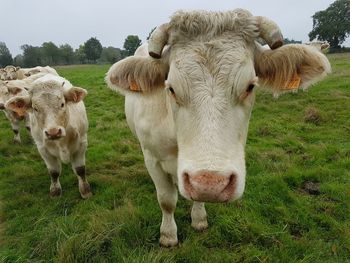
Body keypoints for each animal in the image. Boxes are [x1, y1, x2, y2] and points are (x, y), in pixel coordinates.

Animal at [106, 8, 330, 248]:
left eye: (250, 86)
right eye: (171, 88)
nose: (210, 183)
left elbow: (194, 198)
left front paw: (199, 219)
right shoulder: (152, 158)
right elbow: (166, 200)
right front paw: (168, 235)